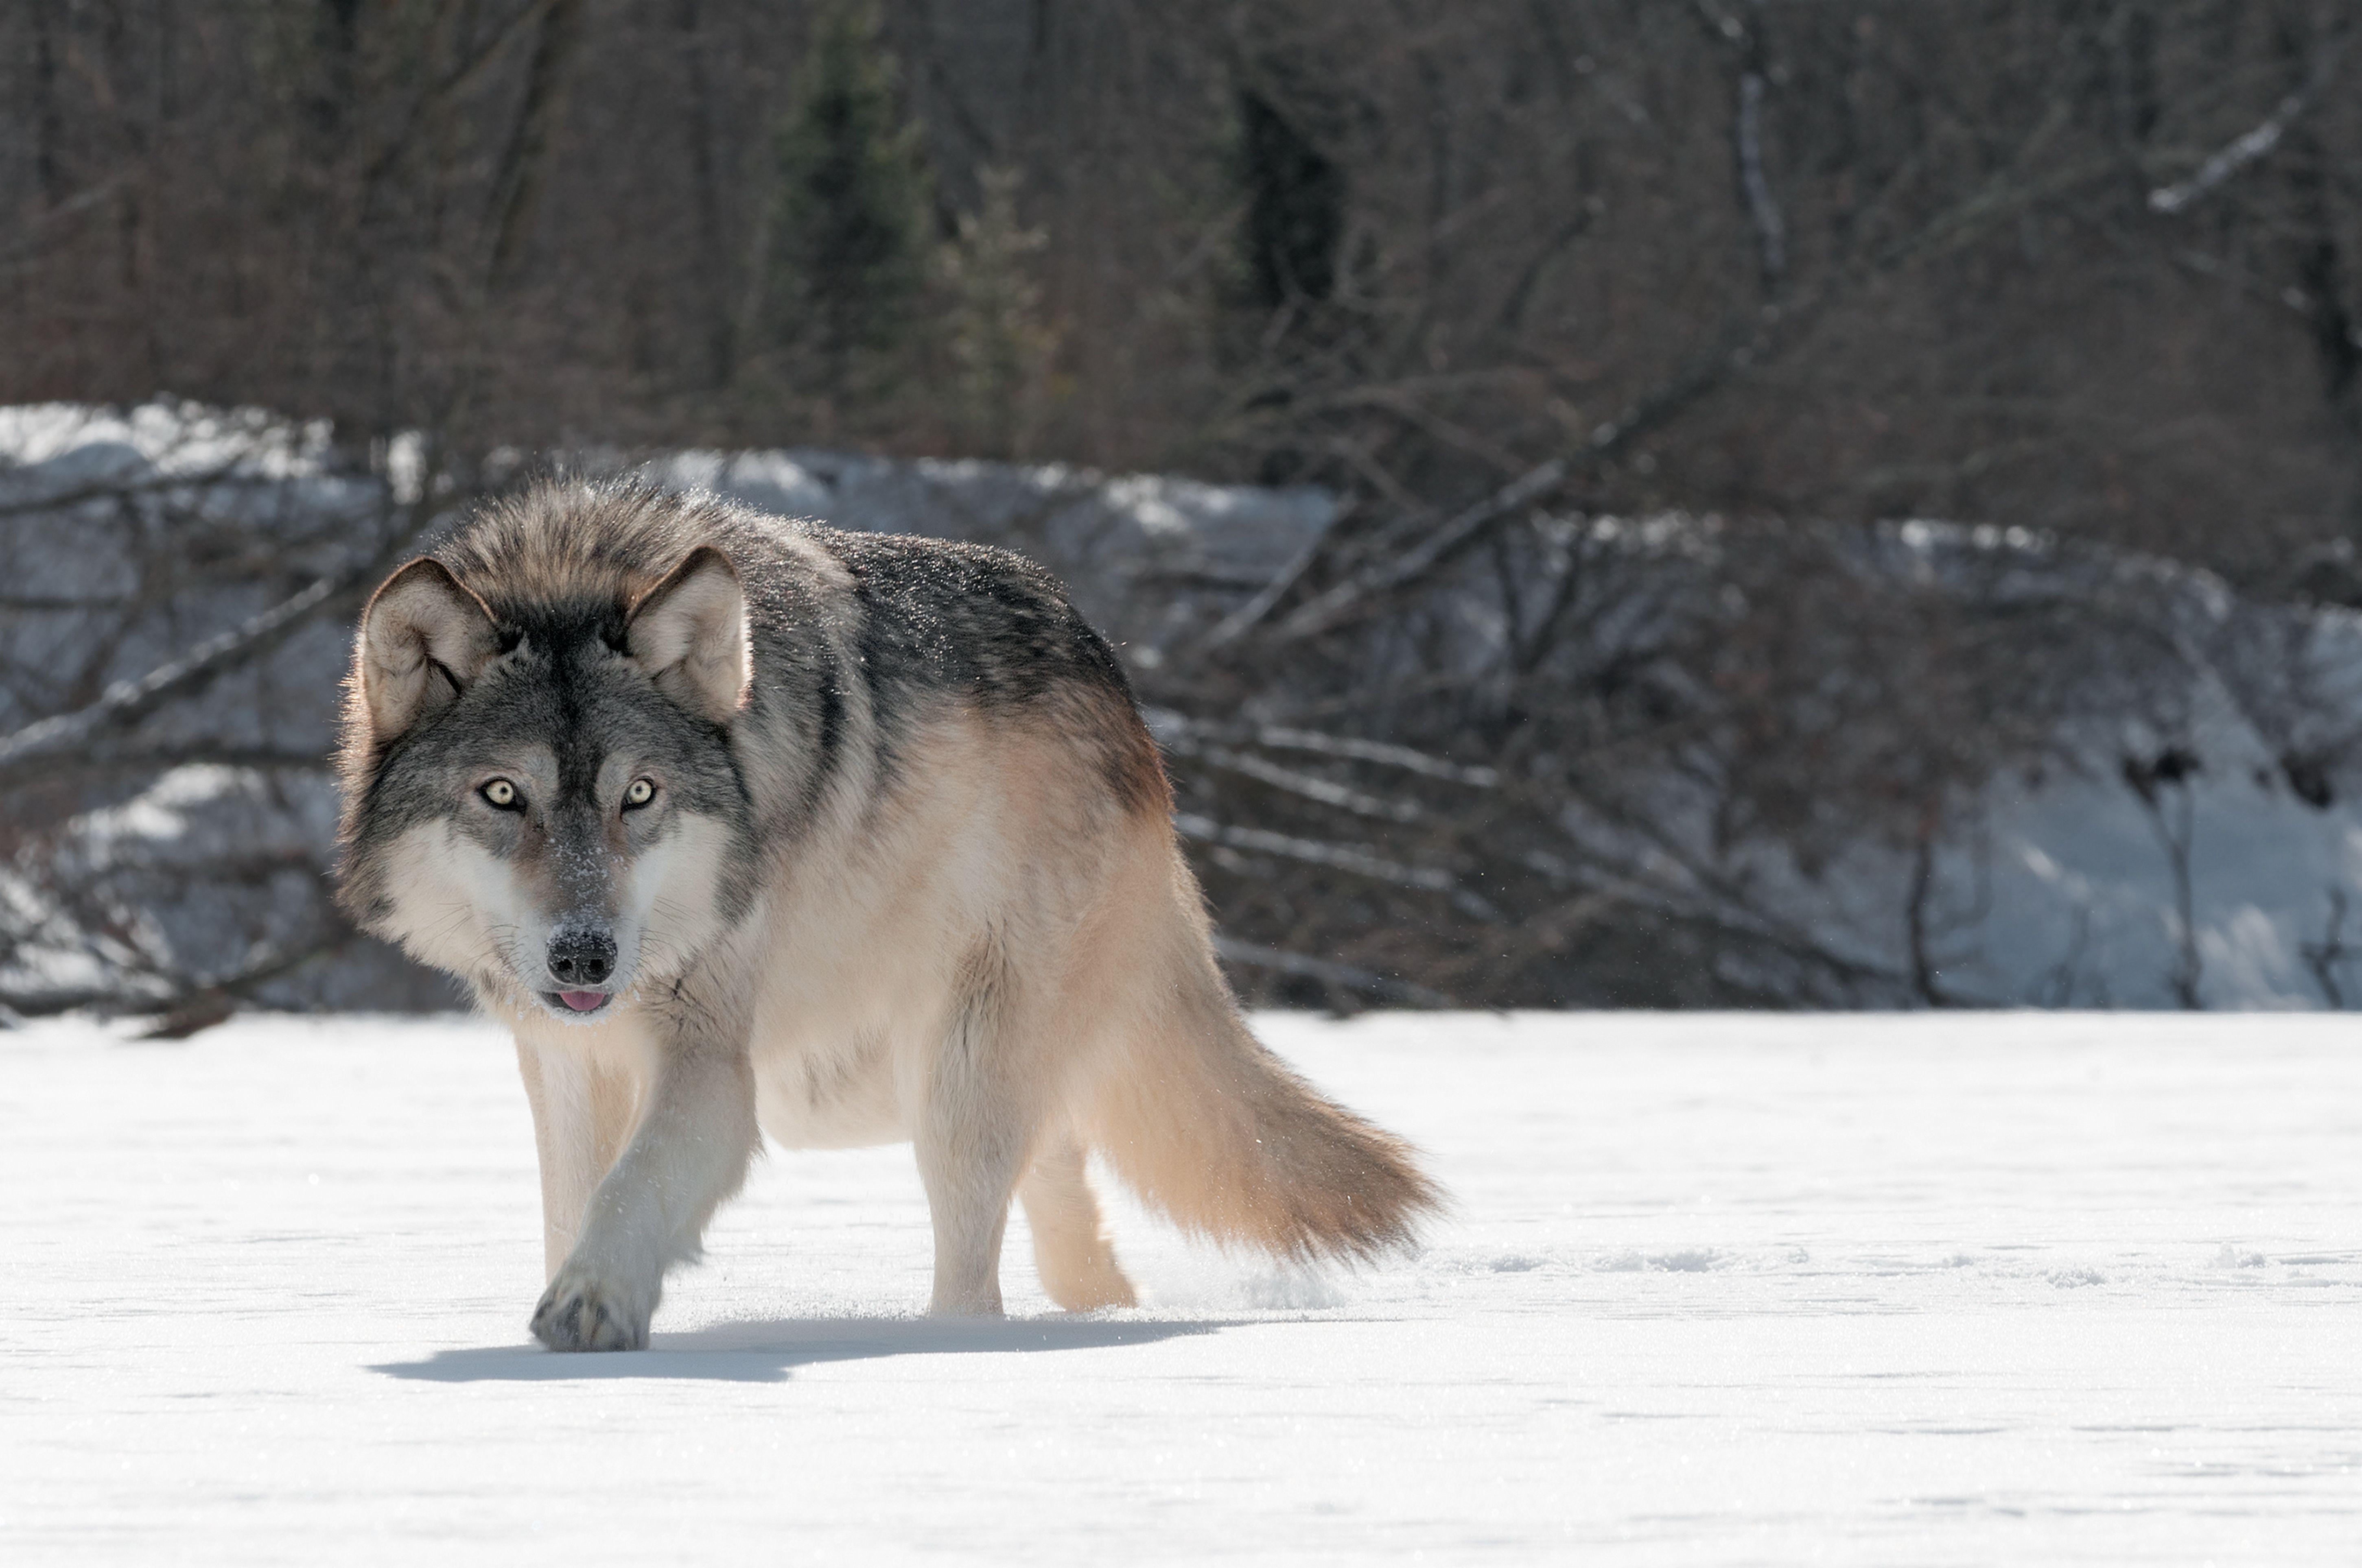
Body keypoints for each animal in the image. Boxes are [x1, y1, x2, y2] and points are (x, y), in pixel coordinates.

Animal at [335, 481, 1439, 1350]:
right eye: (503, 795)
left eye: (639, 795)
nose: (586, 957)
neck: (575, 569)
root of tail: (1124, 699)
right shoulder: (566, 1062)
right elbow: (575, 1200)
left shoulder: (710, 1062)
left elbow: (632, 1187)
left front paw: (591, 1303)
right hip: (864, 1082)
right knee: (1065, 1190)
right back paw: (1097, 1314)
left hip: (946, 1075)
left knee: (978, 1272)